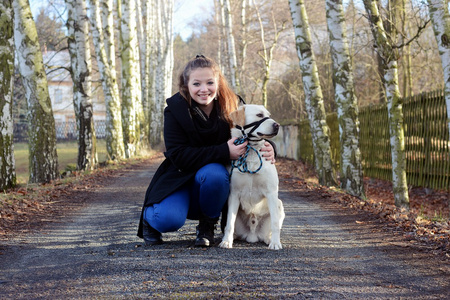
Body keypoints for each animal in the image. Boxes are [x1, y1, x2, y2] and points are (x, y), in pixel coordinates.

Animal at [221, 104, 286, 250]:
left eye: (268, 114)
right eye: (259, 115)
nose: (277, 125)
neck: (251, 150)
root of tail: (252, 235)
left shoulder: (271, 192)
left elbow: (275, 223)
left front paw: (275, 243)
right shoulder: (234, 194)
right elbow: (229, 223)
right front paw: (226, 241)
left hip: (279, 204)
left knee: (273, 227)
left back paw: (270, 239)